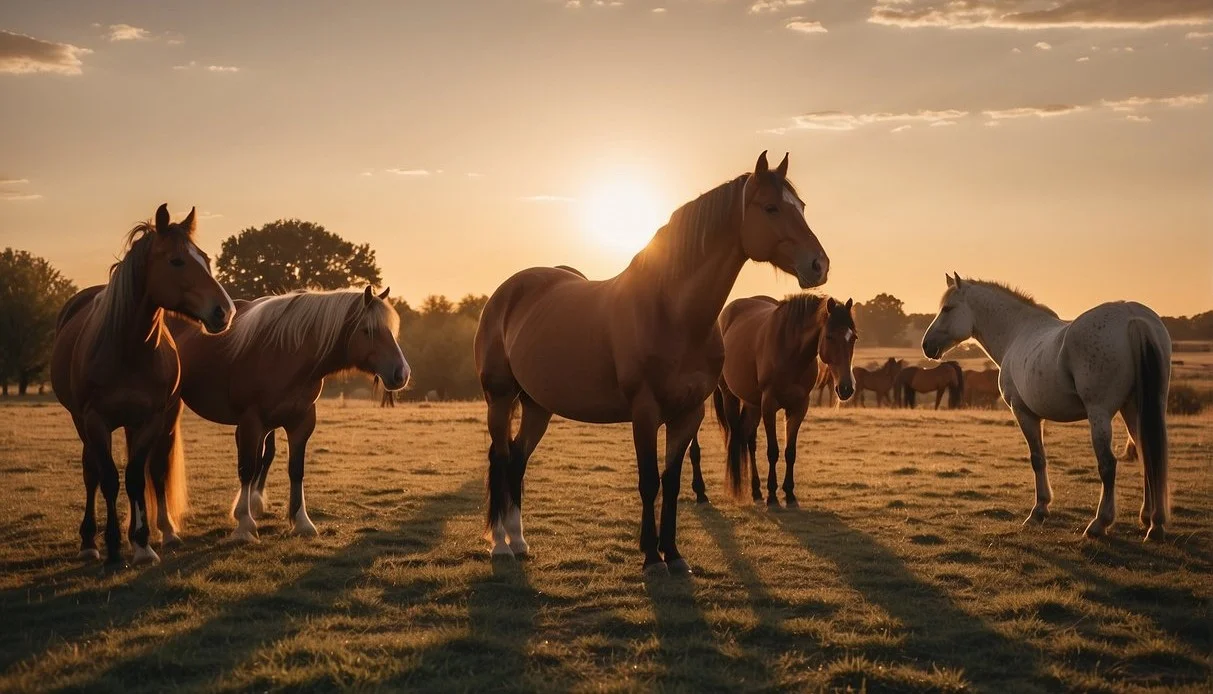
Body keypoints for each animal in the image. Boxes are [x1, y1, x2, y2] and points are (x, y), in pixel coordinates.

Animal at [50, 203, 234, 565]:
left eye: (206, 258)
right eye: (176, 261)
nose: (224, 311)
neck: (128, 349)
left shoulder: (151, 420)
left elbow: (137, 478)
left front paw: (143, 544)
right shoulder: (95, 420)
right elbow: (108, 478)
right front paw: (111, 547)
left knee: (155, 470)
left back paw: (165, 532)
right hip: (83, 421)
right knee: (91, 472)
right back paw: (89, 543)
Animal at [168, 285, 412, 538]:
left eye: (390, 330)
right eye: (367, 331)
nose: (402, 373)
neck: (287, 353)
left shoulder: (300, 422)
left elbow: (295, 469)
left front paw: (301, 521)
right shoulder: (251, 421)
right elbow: (247, 468)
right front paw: (245, 523)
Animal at [477, 151, 829, 575]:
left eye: (802, 207)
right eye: (771, 208)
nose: (819, 264)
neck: (672, 312)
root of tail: (507, 292)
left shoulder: (688, 414)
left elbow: (671, 481)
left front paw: (673, 554)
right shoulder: (644, 412)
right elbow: (649, 481)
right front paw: (650, 557)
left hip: (537, 406)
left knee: (517, 460)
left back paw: (518, 539)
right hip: (499, 398)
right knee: (500, 458)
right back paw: (500, 545)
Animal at [693, 292, 863, 504]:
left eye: (853, 337)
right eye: (829, 336)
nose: (846, 388)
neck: (791, 353)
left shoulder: (799, 407)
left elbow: (790, 452)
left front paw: (789, 493)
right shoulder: (769, 405)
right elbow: (772, 451)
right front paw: (772, 494)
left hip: (752, 404)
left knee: (748, 440)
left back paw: (755, 490)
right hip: (729, 396)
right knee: (734, 437)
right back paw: (722, 488)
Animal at [921, 272, 1169, 541]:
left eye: (947, 308)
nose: (926, 345)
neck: (1016, 333)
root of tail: (1132, 317)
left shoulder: (1024, 412)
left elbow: (1037, 459)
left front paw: (1038, 511)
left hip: (1100, 415)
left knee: (1108, 464)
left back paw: (1099, 523)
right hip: (1135, 409)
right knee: (1148, 455)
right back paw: (1152, 522)